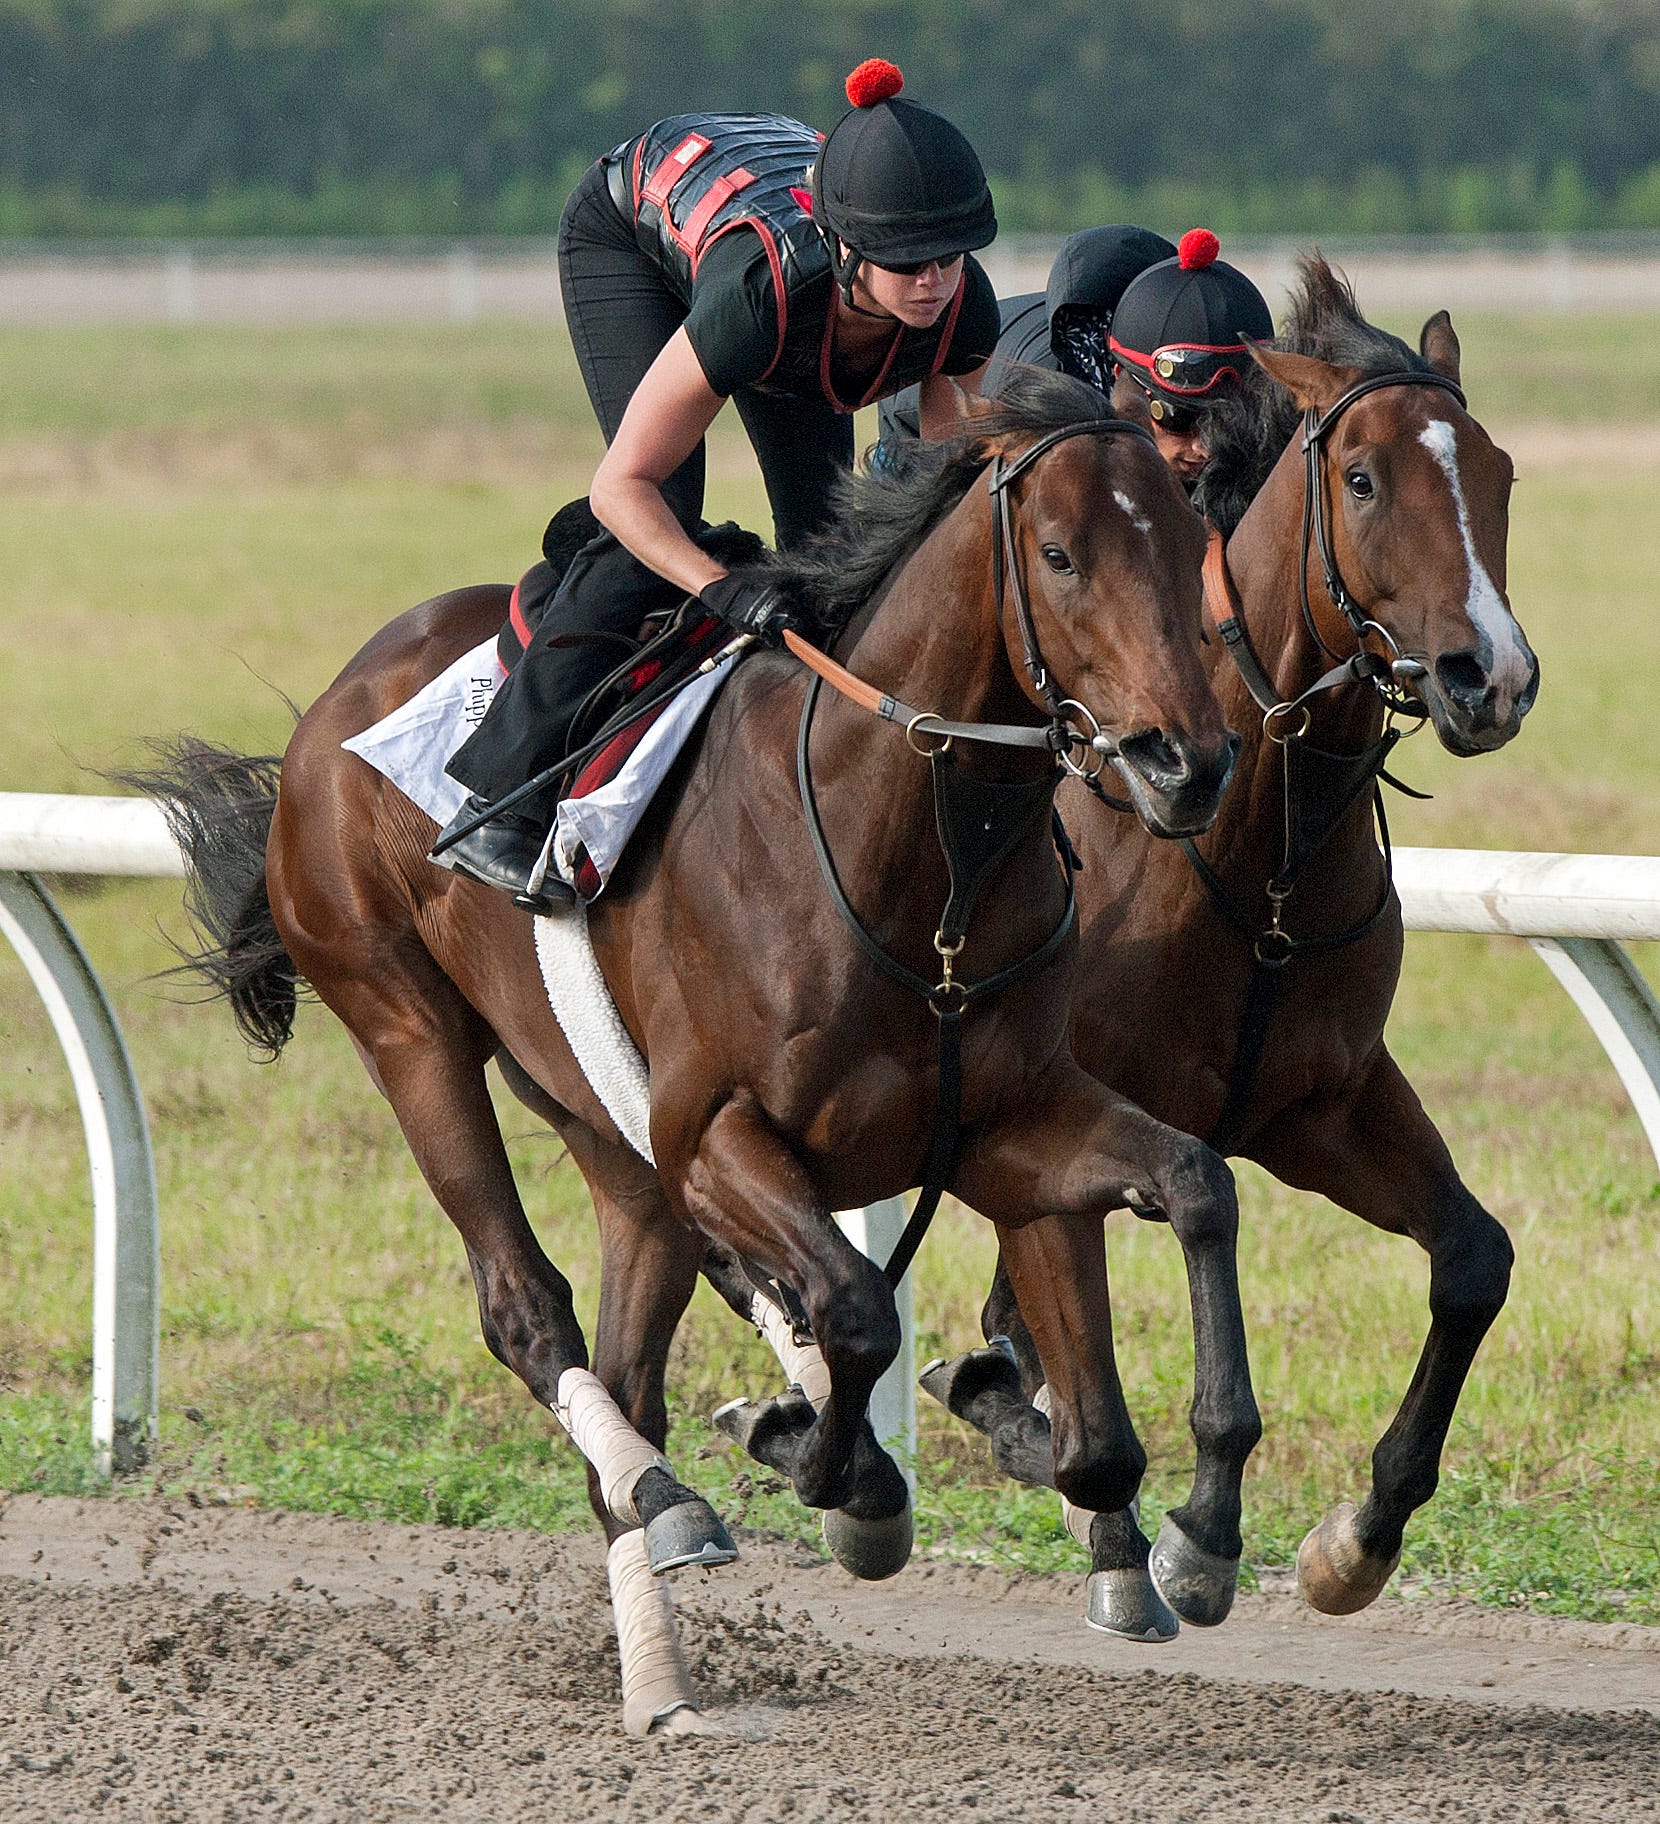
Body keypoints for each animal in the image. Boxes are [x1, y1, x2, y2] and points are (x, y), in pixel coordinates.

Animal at [145, 373, 1262, 1736]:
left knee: (627, 1368)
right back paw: (670, 1498)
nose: (1186, 762)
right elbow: (854, 1310)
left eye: (1188, 537)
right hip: (406, 1027)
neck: (913, 861)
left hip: (610, 1135)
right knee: (526, 1310)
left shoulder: (1006, 1122)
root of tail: (333, 707)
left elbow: (1188, 1200)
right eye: (1057, 554)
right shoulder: (718, 1133)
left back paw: (661, 1666)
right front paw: (838, 1474)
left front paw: (1198, 1525)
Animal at [923, 253, 1532, 1612]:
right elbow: (1043, 1315)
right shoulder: (1059, 1103)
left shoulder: (1321, 1100)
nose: (1492, 679)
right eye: (1361, 479)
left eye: (1499, 473)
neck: (1260, 857)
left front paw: (1355, 1538)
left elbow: (1474, 1259)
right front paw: (1174, 1524)